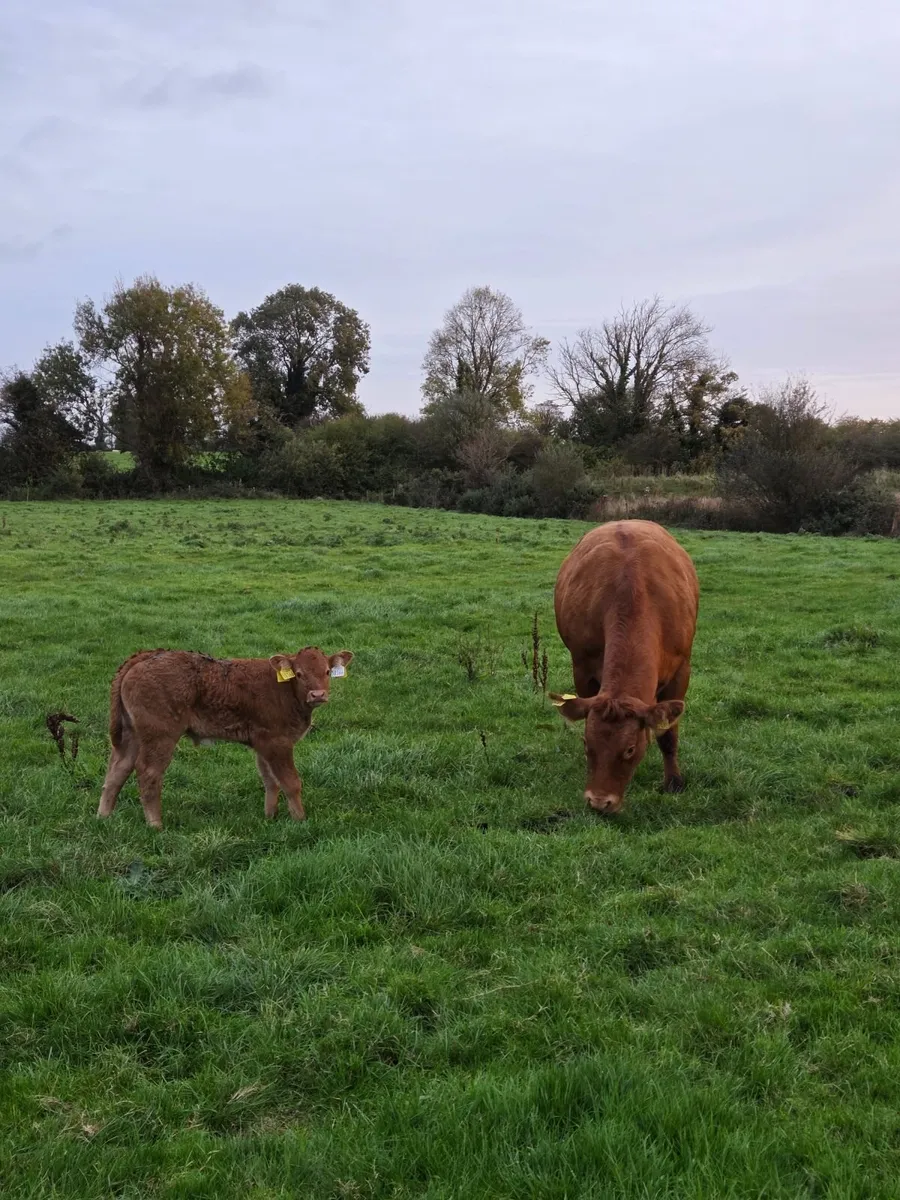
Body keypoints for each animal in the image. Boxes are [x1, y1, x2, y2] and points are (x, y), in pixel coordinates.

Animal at [97, 646, 353, 829]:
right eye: (299, 674)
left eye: (327, 672)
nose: (318, 694)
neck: (283, 689)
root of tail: (147, 655)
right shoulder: (278, 742)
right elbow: (290, 782)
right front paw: (300, 820)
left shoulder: (262, 742)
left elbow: (270, 780)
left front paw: (270, 816)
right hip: (160, 736)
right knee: (148, 773)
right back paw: (155, 825)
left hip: (130, 734)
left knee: (118, 770)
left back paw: (103, 817)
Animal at [551, 520, 698, 814]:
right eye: (587, 744)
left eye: (629, 749)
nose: (599, 801)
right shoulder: (582, 668)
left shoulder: (681, 670)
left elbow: (668, 734)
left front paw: (673, 782)